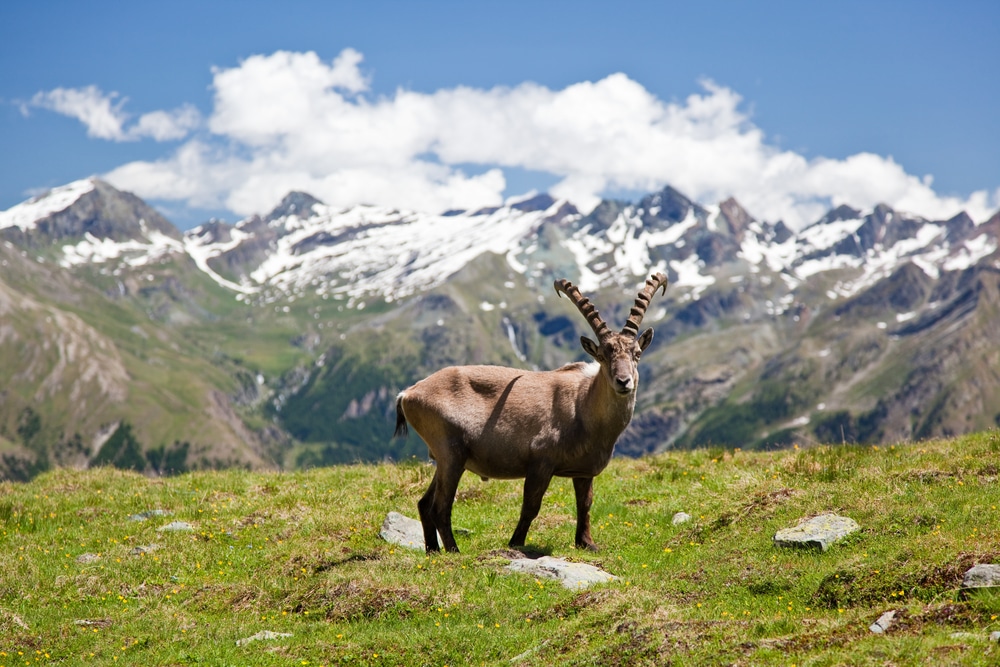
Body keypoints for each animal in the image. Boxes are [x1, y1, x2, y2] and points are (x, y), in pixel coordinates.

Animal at [394, 272, 668, 553]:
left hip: (444, 459)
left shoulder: (583, 471)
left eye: (637, 354)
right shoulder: (540, 462)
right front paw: (516, 543)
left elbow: (585, 504)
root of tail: (409, 394)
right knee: (440, 507)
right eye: (602, 355)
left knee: (424, 504)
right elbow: (531, 506)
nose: (624, 381)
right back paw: (454, 551)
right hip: (451, 455)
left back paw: (433, 551)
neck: (583, 405)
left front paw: (586, 543)